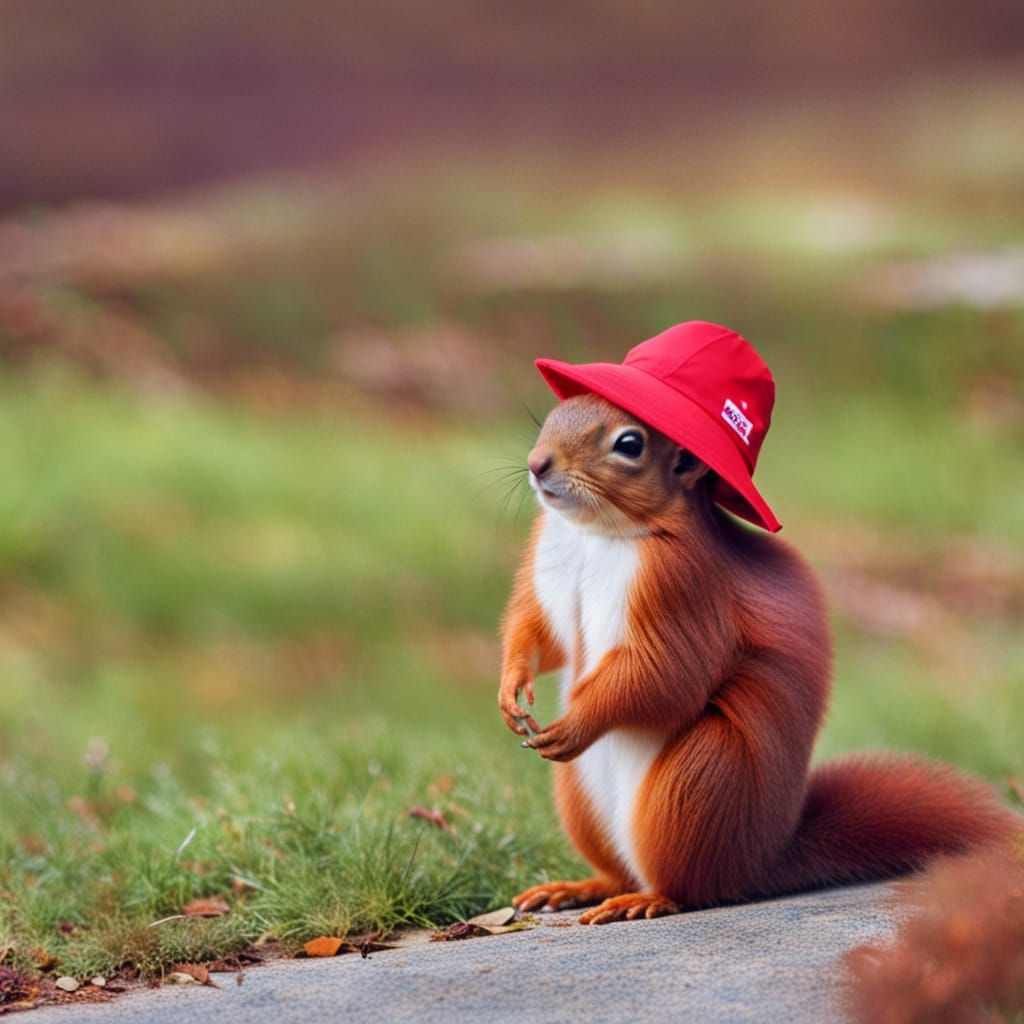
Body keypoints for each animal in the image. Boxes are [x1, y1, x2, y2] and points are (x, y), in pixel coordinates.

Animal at [498, 390, 1019, 925]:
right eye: (553, 415)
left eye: (629, 444)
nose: (538, 464)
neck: (599, 535)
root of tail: (757, 861)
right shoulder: (547, 563)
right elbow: (535, 634)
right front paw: (511, 687)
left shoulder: (685, 590)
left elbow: (667, 675)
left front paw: (576, 724)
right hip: (580, 799)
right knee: (617, 869)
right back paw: (580, 887)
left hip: (698, 782)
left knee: (689, 885)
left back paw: (651, 898)